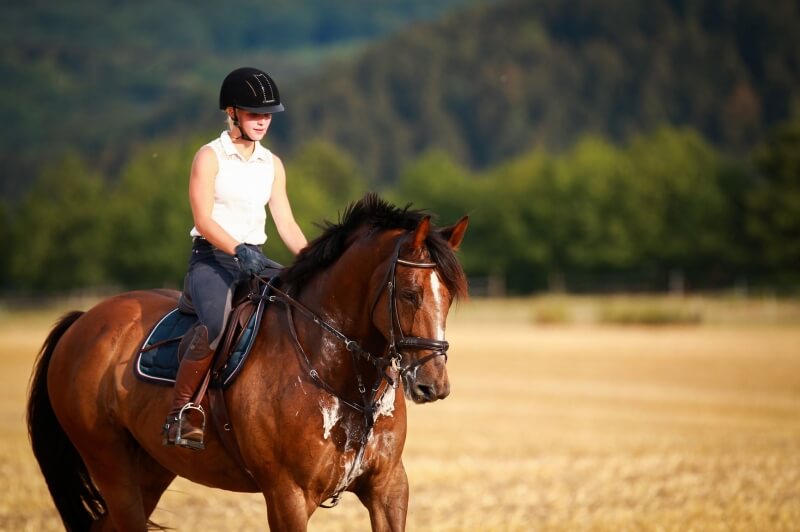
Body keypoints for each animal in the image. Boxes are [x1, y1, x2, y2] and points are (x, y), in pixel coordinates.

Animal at [26, 194, 468, 532]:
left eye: (448, 296)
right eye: (410, 293)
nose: (433, 385)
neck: (341, 376)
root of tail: (82, 321)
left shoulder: (388, 487)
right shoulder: (288, 495)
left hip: (150, 469)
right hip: (111, 466)